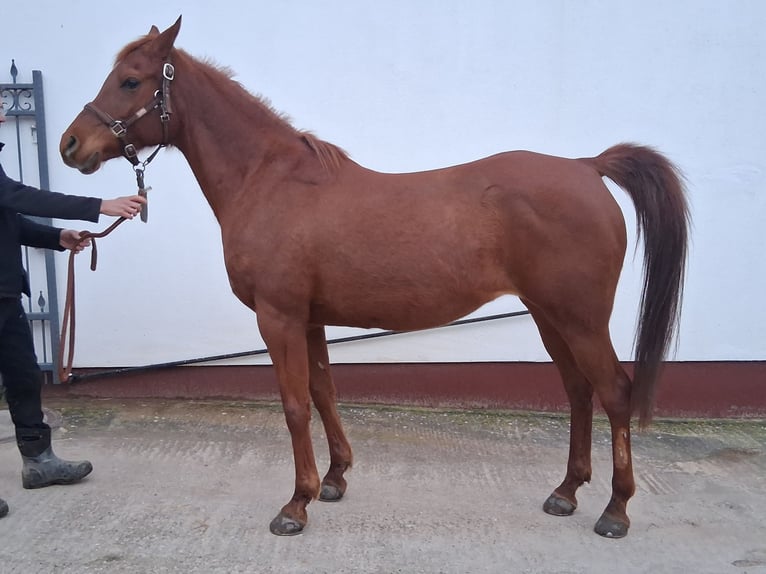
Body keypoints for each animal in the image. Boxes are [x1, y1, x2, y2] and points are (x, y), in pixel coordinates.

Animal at [59, 17, 689, 538]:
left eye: (131, 81)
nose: (70, 144)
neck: (270, 181)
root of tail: (587, 167)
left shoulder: (278, 317)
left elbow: (294, 405)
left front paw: (296, 505)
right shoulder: (308, 320)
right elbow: (323, 393)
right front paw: (334, 480)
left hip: (580, 319)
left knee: (614, 393)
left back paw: (614, 511)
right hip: (548, 315)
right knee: (579, 391)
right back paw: (565, 492)